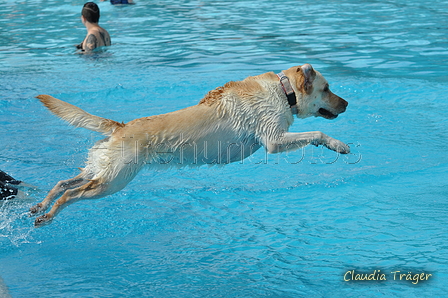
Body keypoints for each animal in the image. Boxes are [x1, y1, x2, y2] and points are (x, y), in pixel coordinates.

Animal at [30, 63, 350, 226]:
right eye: (327, 88)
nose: (347, 104)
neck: (284, 92)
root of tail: (120, 126)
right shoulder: (273, 140)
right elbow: (318, 132)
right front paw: (337, 145)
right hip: (113, 181)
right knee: (70, 194)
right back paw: (49, 215)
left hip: (101, 170)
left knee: (62, 183)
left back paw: (40, 206)